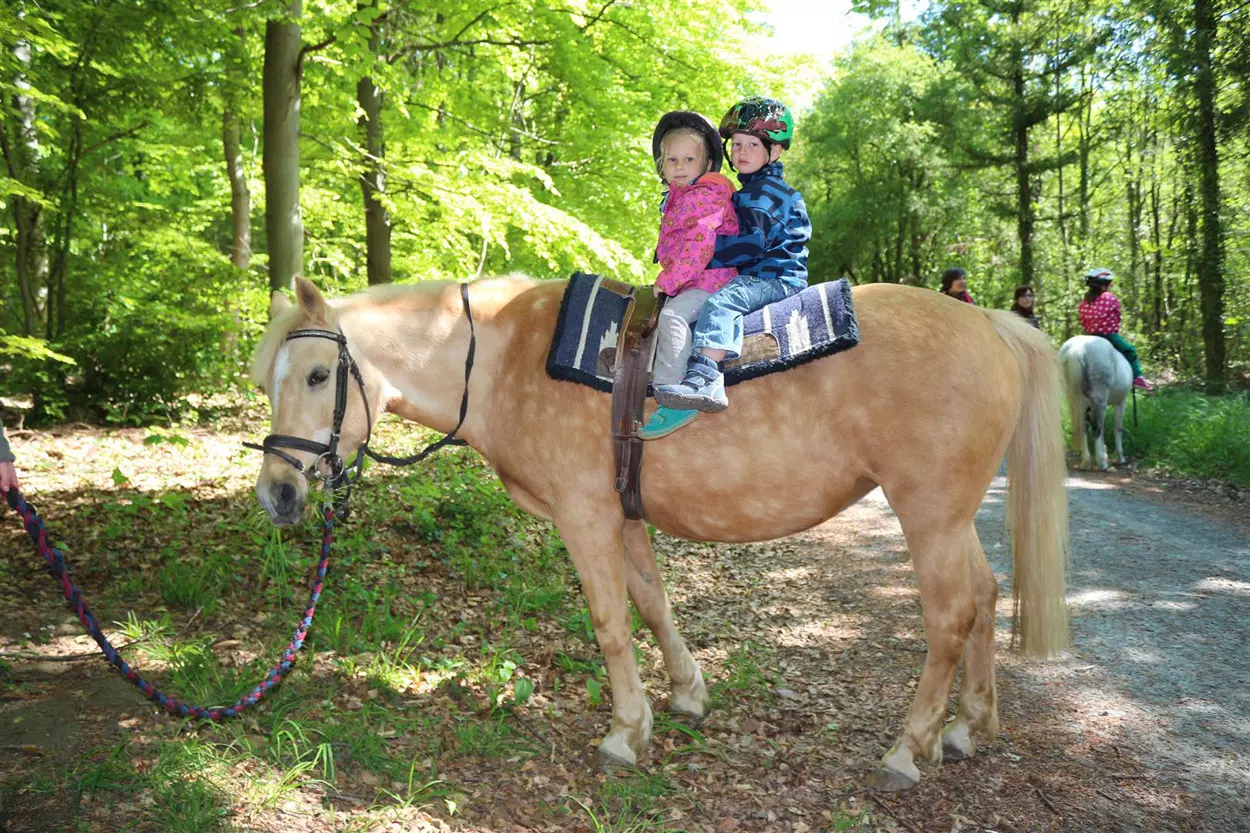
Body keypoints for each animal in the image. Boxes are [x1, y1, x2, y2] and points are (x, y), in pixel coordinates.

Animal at [248, 275, 1070, 790]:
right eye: (267, 381)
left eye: (319, 375)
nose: (278, 494)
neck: (507, 358)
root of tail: (989, 323)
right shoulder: (624, 513)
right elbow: (653, 604)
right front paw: (685, 694)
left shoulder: (584, 516)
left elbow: (611, 622)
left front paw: (625, 730)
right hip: (952, 516)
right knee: (985, 597)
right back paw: (969, 725)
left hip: (927, 512)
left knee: (950, 616)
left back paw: (909, 746)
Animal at [1055, 335, 1135, 467]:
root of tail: (1076, 351)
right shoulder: (1120, 402)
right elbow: (1118, 428)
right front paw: (1119, 457)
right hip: (1099, 400)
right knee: (1096, 428)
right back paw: (1101, 463)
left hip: (1077, 401)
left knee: (1084, 427)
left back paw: (1086, 461)